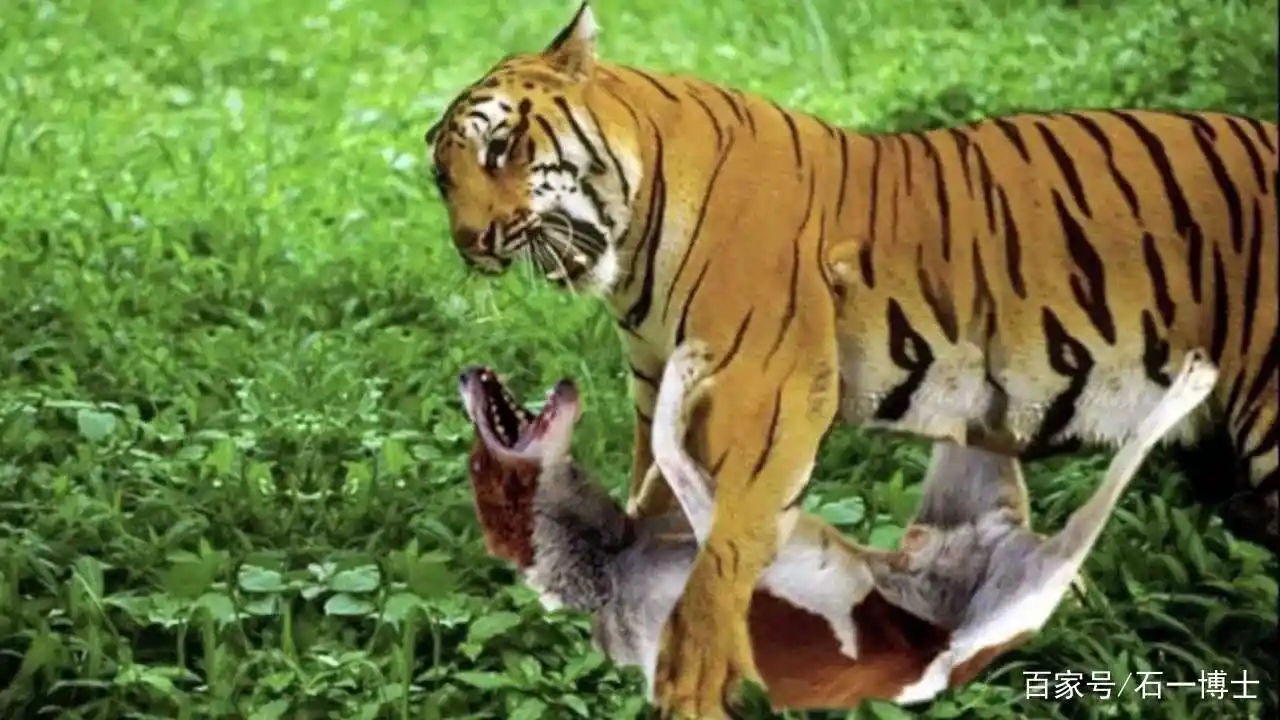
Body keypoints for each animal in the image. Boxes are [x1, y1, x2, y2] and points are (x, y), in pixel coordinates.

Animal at [423, 3, 1278, 717]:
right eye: (441, 177)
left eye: (500, 148)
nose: (468, 244)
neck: (626, 244)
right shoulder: (653, 386)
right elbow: (656, 507)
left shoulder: (763, 395)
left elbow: (721, 549)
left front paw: (691, 683)